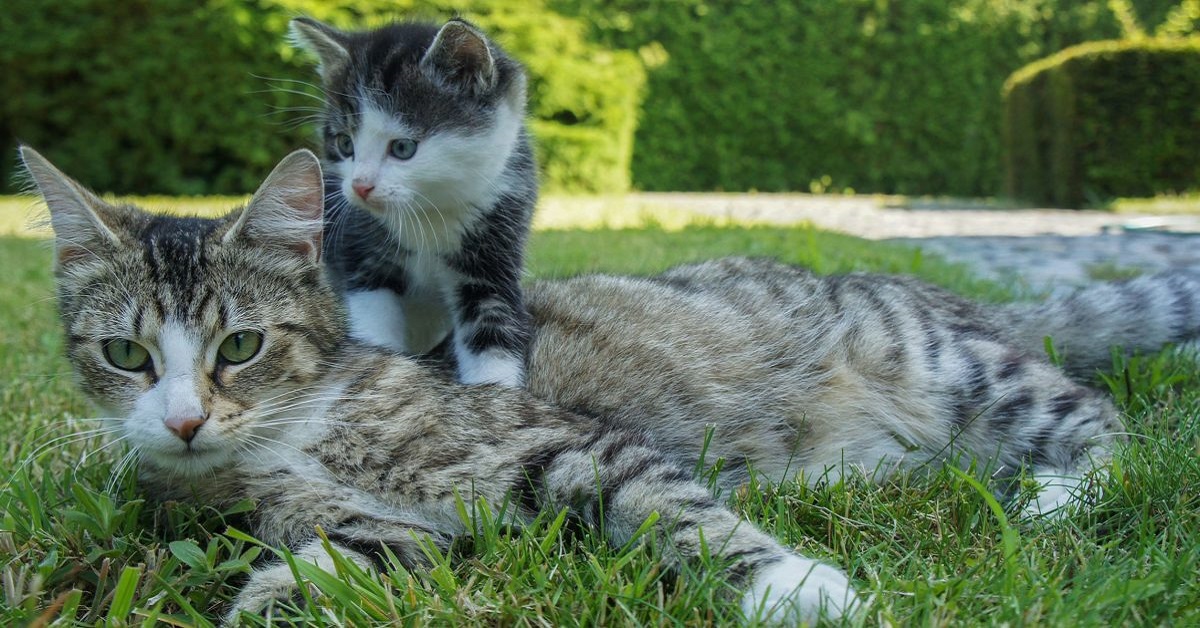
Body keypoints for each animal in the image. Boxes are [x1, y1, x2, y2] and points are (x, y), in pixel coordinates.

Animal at [25, 147, 1200, 624]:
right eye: (126, 355)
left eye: (240, 347)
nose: (183, 420)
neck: (291, 437)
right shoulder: (367, 527)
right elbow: (351, 560)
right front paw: (269, 599)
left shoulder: (560, 440)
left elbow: (676, 506)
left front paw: (800, 589)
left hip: (955, 369)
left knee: (1109, 426)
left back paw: (1058, 495)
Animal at [288, 15, 537, 389]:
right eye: (345, 144)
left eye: (403, 148)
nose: (360, 186)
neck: (428, 210)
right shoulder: (363, 253)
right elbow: (373, 325)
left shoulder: (496, 244)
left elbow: (493, 331)